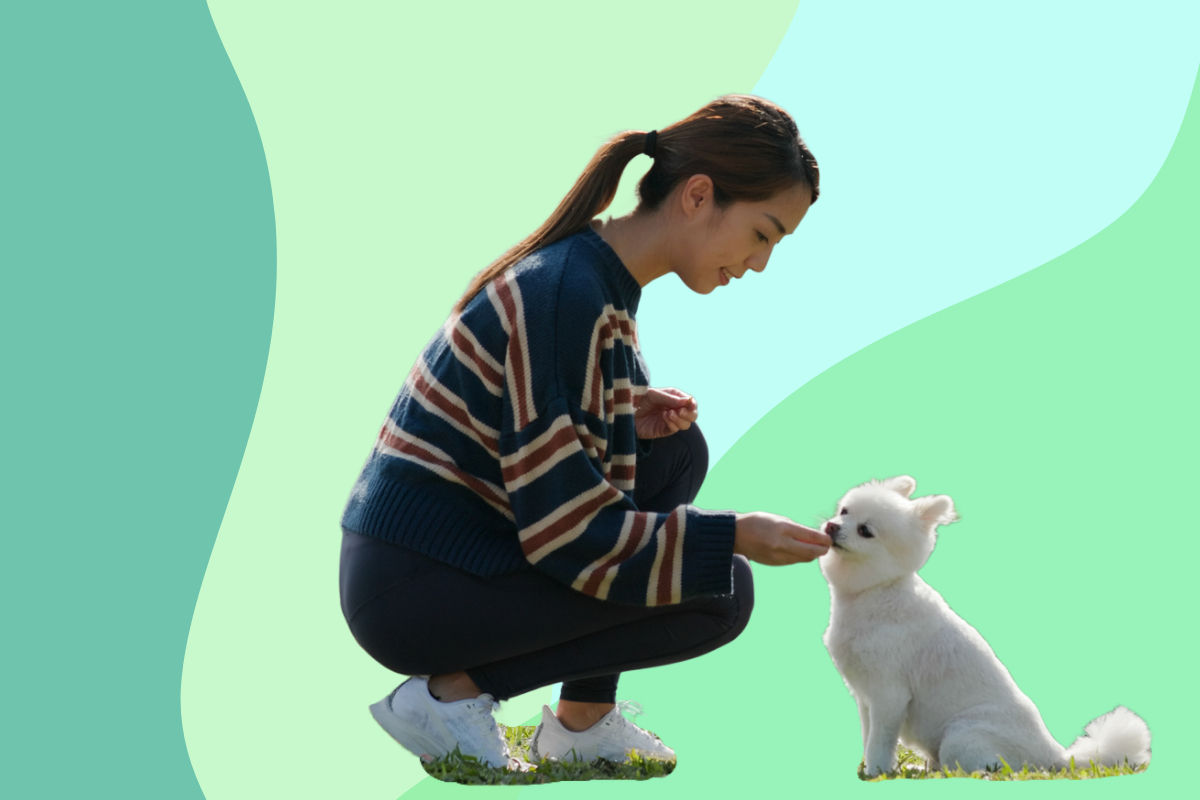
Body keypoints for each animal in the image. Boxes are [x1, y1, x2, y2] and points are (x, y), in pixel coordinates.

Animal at [820, 474, 1147, 777]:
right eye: (845, 511)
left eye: (866, 531)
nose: (832, 527)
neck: (875, 592)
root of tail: (1055, 756)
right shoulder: (866, 698)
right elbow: (869, 737)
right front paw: (872, 768)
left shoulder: (889, 695)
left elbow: (880, 742)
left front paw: (875, 771)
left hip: (961, 734)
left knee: (984, 767)